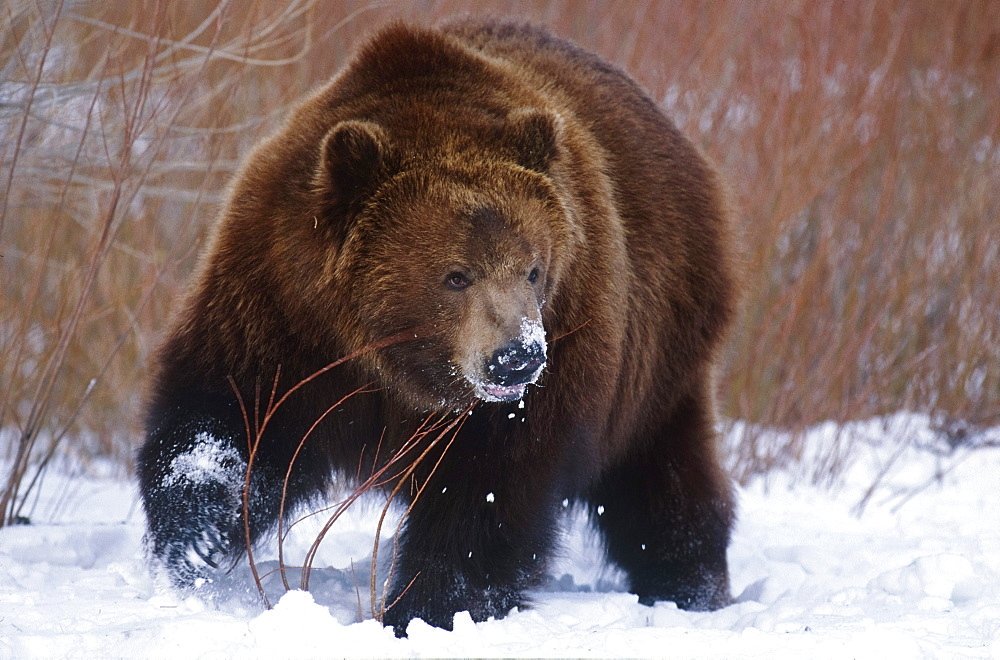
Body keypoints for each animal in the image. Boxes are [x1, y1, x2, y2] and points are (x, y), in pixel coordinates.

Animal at [137, 19, 738, 634]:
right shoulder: (284, 312)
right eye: (456, 275)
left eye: (533, 268)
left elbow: (486, 497)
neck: (395, 360)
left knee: (660, 483)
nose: (518, 356)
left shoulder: (553, 357)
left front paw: (425, 609)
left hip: (656, 355)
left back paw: (687, 586)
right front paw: (196, 540)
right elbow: (231, 414)